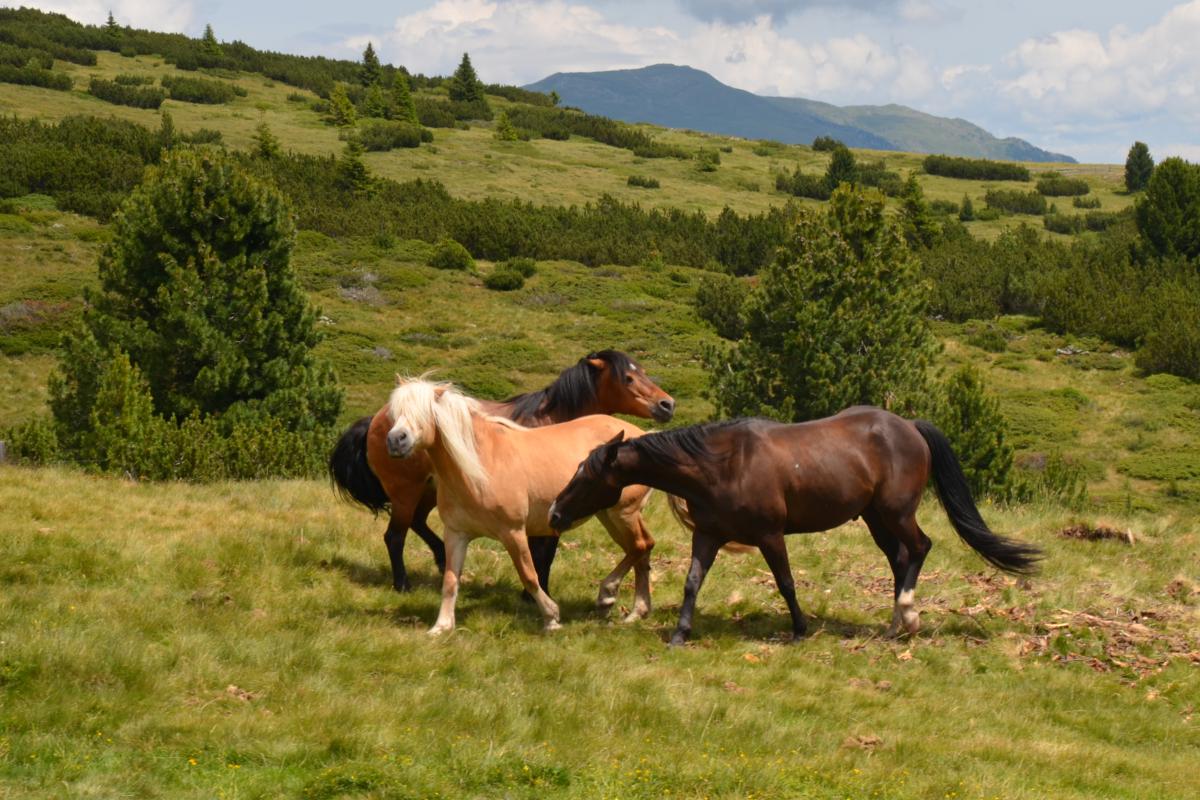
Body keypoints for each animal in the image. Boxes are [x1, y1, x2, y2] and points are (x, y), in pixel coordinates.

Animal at [328, 352, 676, 594]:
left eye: (642, 372)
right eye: (628, 378)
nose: (667, 404)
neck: (553, 420)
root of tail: (376, 420)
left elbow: (544, 552)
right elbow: (543, 552)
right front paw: (534, 593)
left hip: (427, 491)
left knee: (417, 523)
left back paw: (441, 559)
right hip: (405, 492)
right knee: (395, 536)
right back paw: (402, 584)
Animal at [379, 379, 657, 633]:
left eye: (424, 412)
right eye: (394, 413)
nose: (395, 440)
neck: (481, 465)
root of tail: (639, 435)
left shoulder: (513, 532)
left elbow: (529, 575)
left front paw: (551, 618)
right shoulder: (456, 534)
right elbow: (450, 579)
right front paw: (441, 626)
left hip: (622, 513)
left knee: (640, 546)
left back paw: (607, 596)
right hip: (609, 515)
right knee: (642, 549)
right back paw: (637, 611)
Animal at [549, 410, 1041, 647]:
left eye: (587, 475)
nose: (554, 512)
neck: (720, 465)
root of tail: (910, 427)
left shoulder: (770, 535)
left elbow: (785, 582)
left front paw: (800, 629)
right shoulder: (706, 535)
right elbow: (692, 583)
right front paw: (680, 634)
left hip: (896, 512)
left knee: (919, 548)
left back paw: (910, 616)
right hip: (875, 518)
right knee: (900, 558)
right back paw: (895, 626)